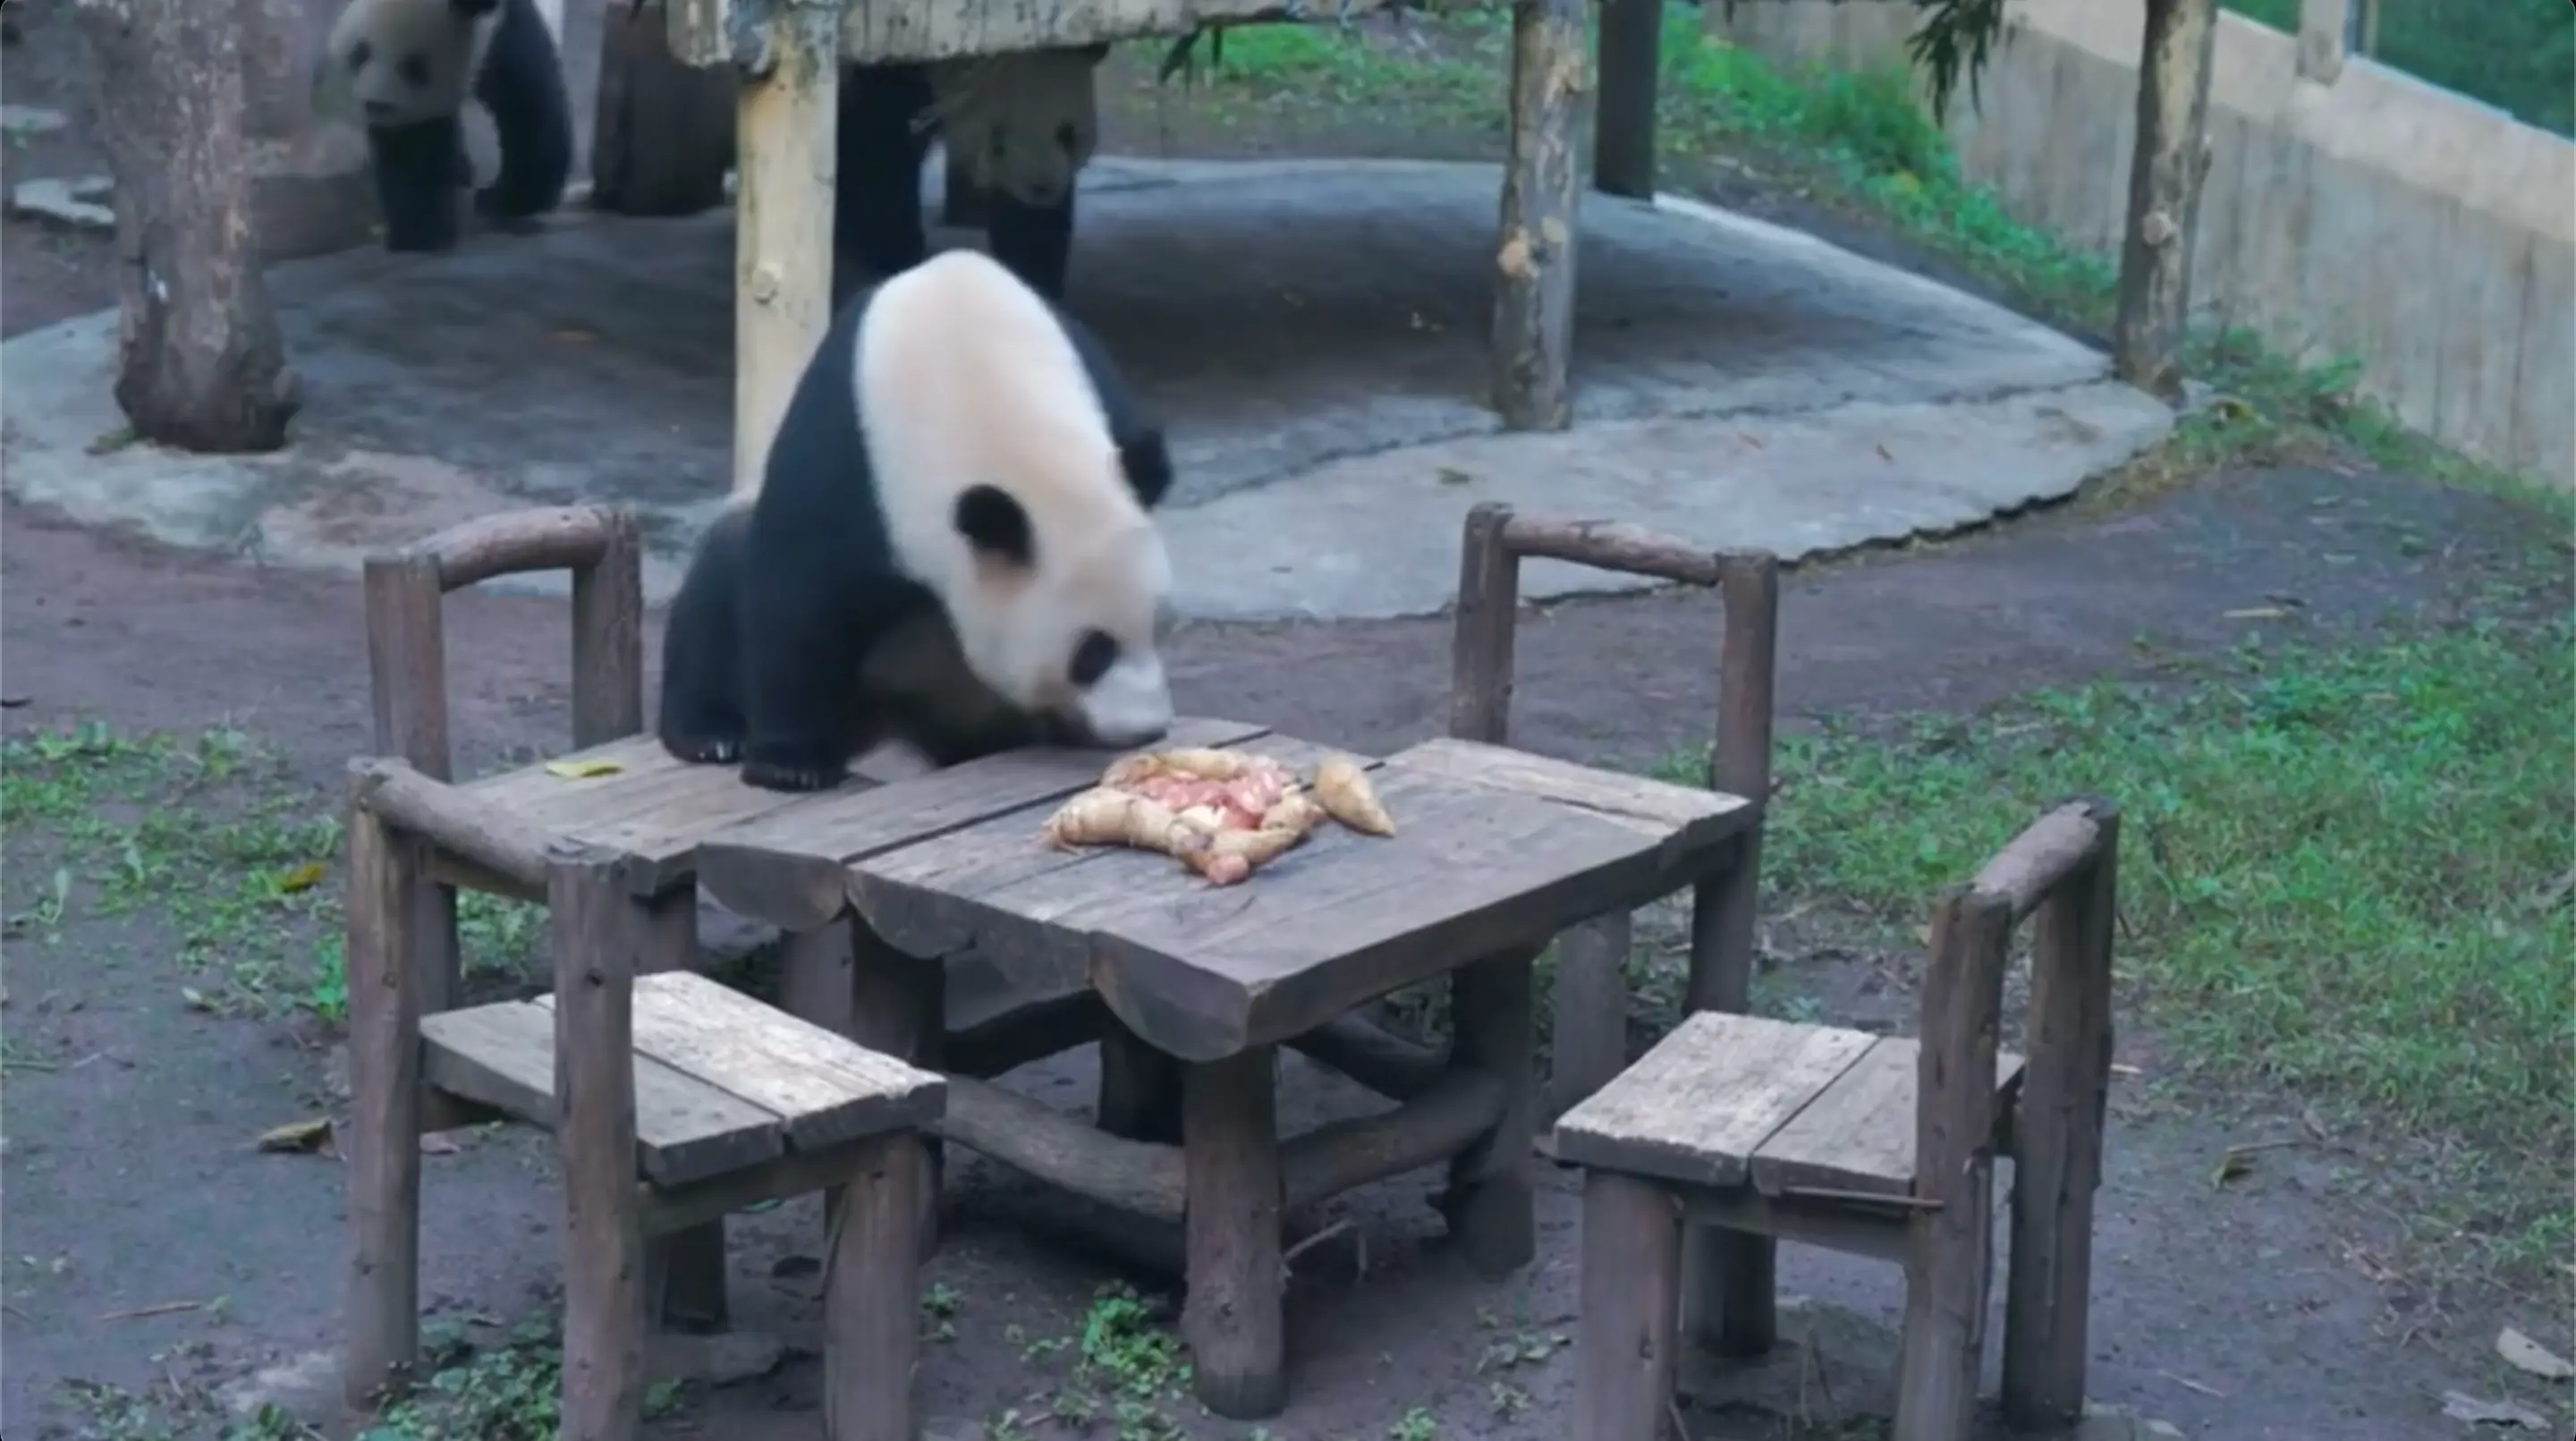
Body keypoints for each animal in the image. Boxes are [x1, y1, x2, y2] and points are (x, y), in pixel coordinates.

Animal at [313, 0, 574, 253]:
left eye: (414, 68)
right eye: (360, 53)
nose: (376, 105)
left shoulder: (505, 40)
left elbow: (530, 113)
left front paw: (508, 201)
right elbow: (412, 149)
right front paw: (415, 233)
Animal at [656, 247, 1178, 794]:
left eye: (1159, 622)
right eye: (1091, 653)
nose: (1143, 728)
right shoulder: (851, 456)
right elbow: (797, 593)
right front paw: (789, 764)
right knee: (718, 586)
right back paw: (712, 734)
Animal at [834, 46, 1107, 305]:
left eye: (1066, 133)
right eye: (996, 142)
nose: (1042, 189)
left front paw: (1035, 275)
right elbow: (876, 156)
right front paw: (899, 252)